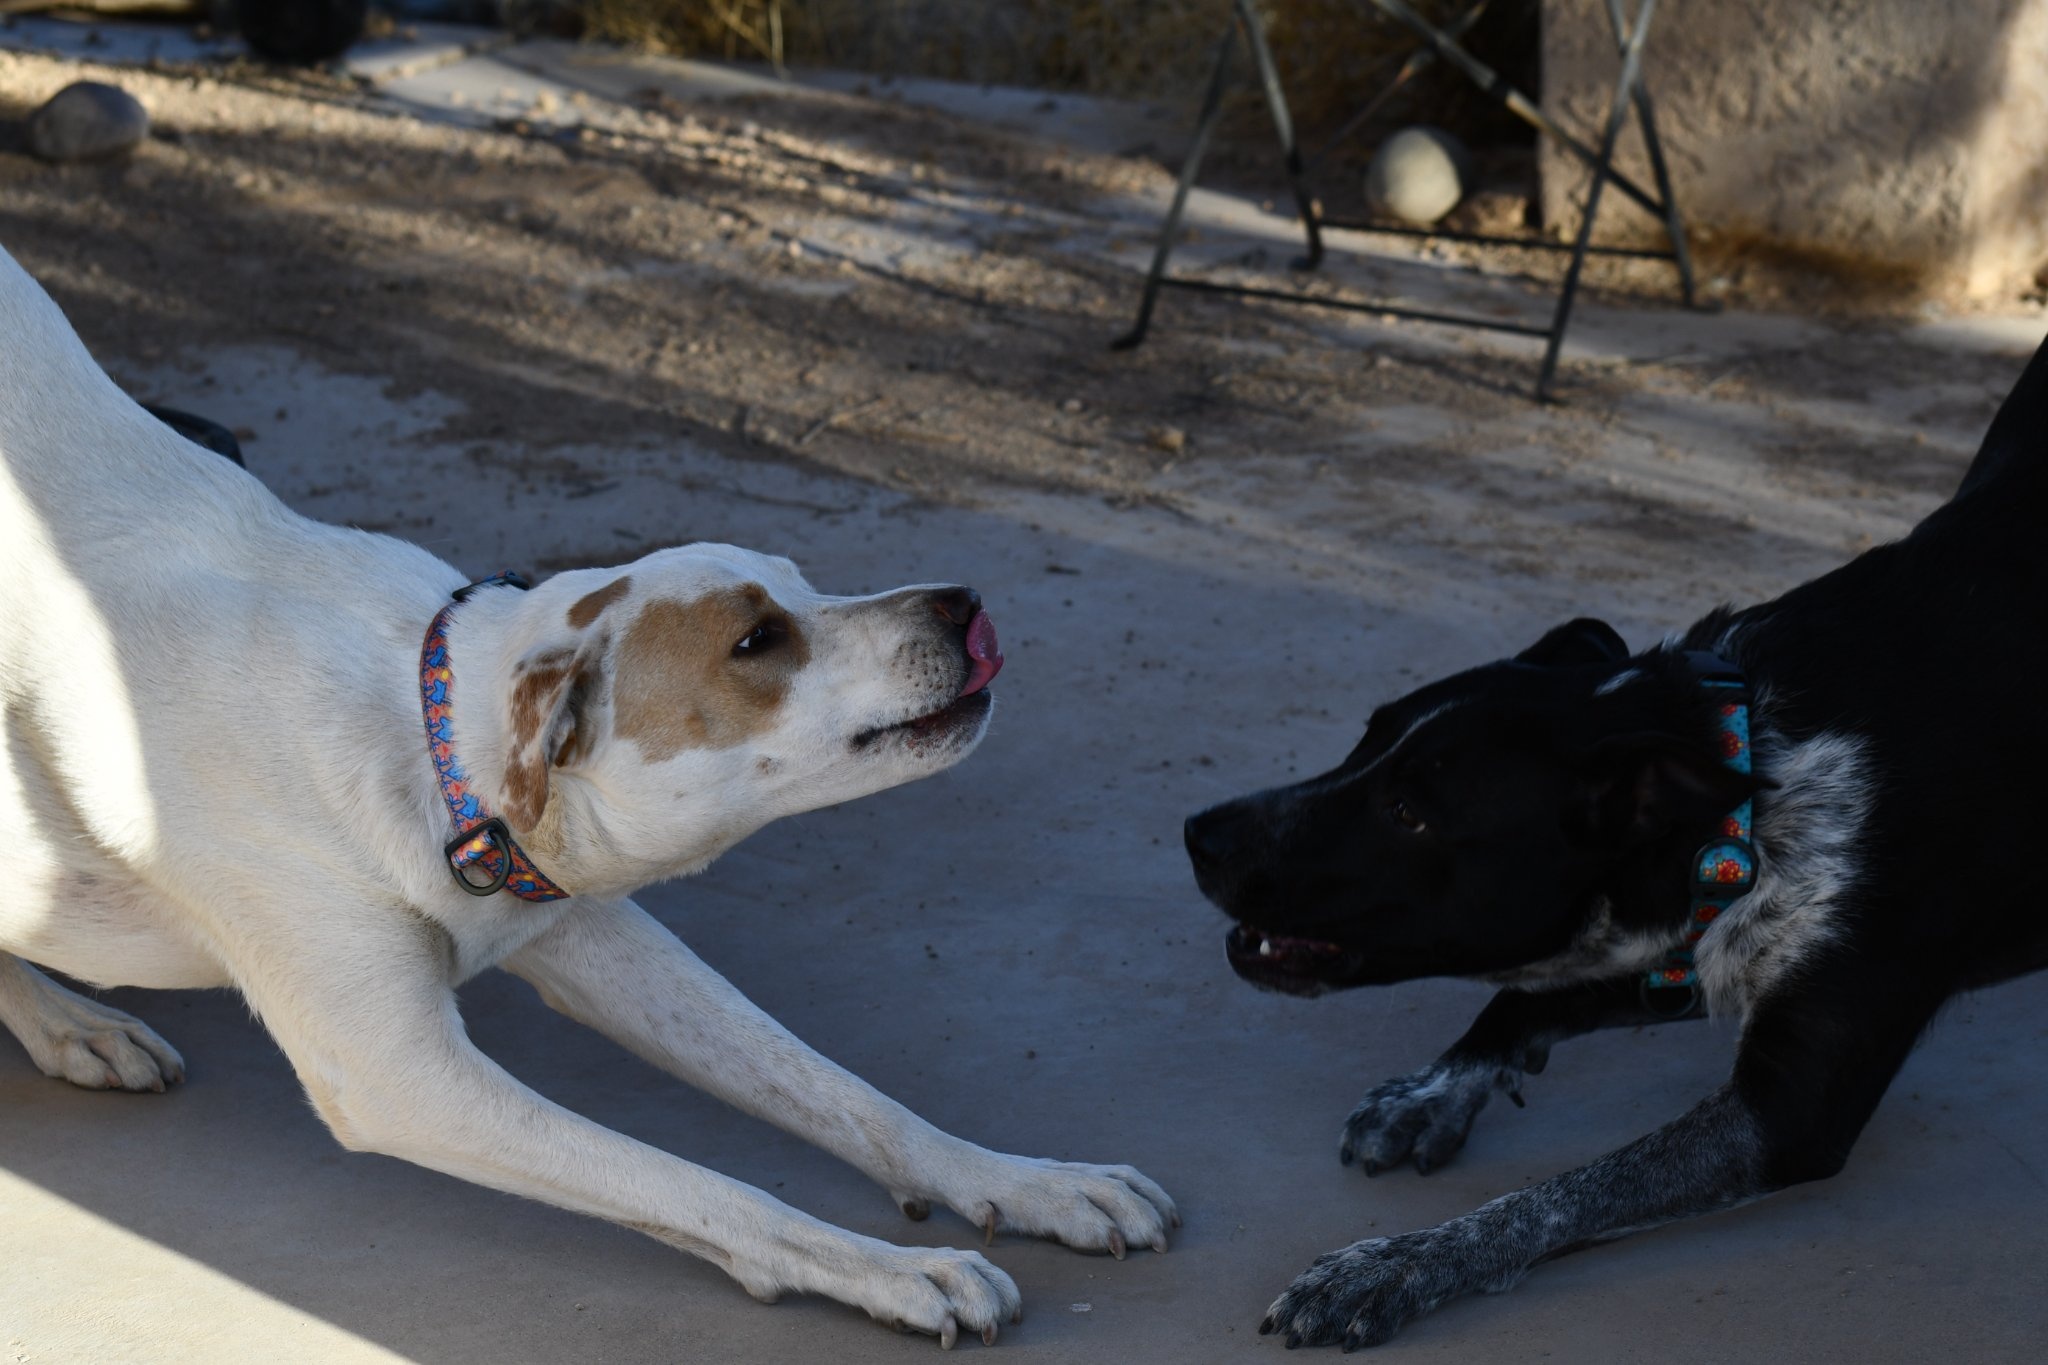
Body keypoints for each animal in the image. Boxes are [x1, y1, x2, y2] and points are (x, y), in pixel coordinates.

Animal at [0, 245, 1171, 1342]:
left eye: (805, 584)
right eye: (756, 640)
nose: (961, 603)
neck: (434, 745)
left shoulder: (588, 929)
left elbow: (841, 1092)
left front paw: (1027, 1180)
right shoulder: (400, 1074)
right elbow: (714, 1191)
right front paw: (892, 1269)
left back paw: (66, 1025)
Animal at [1187, 335, 2048, 1350]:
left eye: (1411, 812)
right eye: (1364, 740)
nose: (1199, 834)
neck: (1751, 757)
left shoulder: (1789, 1107)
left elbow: (1559, 1196)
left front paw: (1392, 1264)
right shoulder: (1691, 932)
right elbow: (1522, 998)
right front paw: (1429, 1093)